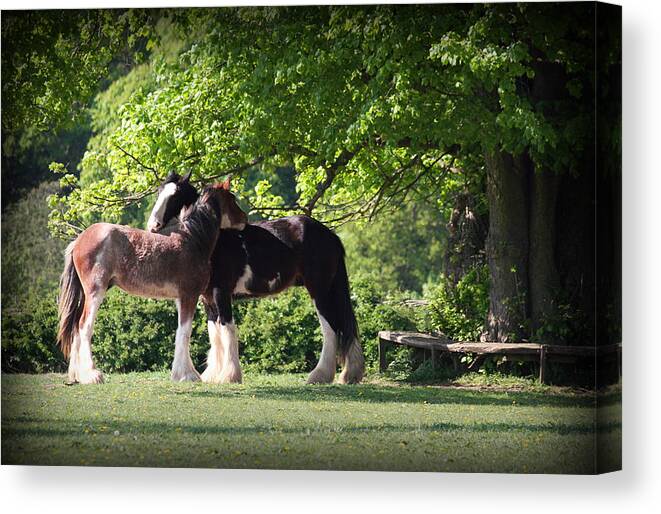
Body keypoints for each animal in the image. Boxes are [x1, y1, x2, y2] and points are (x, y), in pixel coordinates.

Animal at [55, 178, 238, 382]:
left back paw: (77, 375)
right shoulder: (189, 296)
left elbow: (181, 332)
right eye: (233, 199)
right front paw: (186, 375)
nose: (244, 218)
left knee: (75, 328)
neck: (193, 240)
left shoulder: (181, 299)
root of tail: (79, 240)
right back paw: (92, 375)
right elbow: (185, 333)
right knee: (84, 326)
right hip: (96, 292)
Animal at [147, 173, 364, 384]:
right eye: (159, 192)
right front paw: (213, 375)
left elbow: (228, 329)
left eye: (175, 196)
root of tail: (330, 236)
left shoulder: (221, 293)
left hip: (319, 291)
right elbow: (215, 334)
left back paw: (319, 376)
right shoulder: (207, 299)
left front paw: (230, 376)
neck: (212, 243)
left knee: (330, 329)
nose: (152, 227)